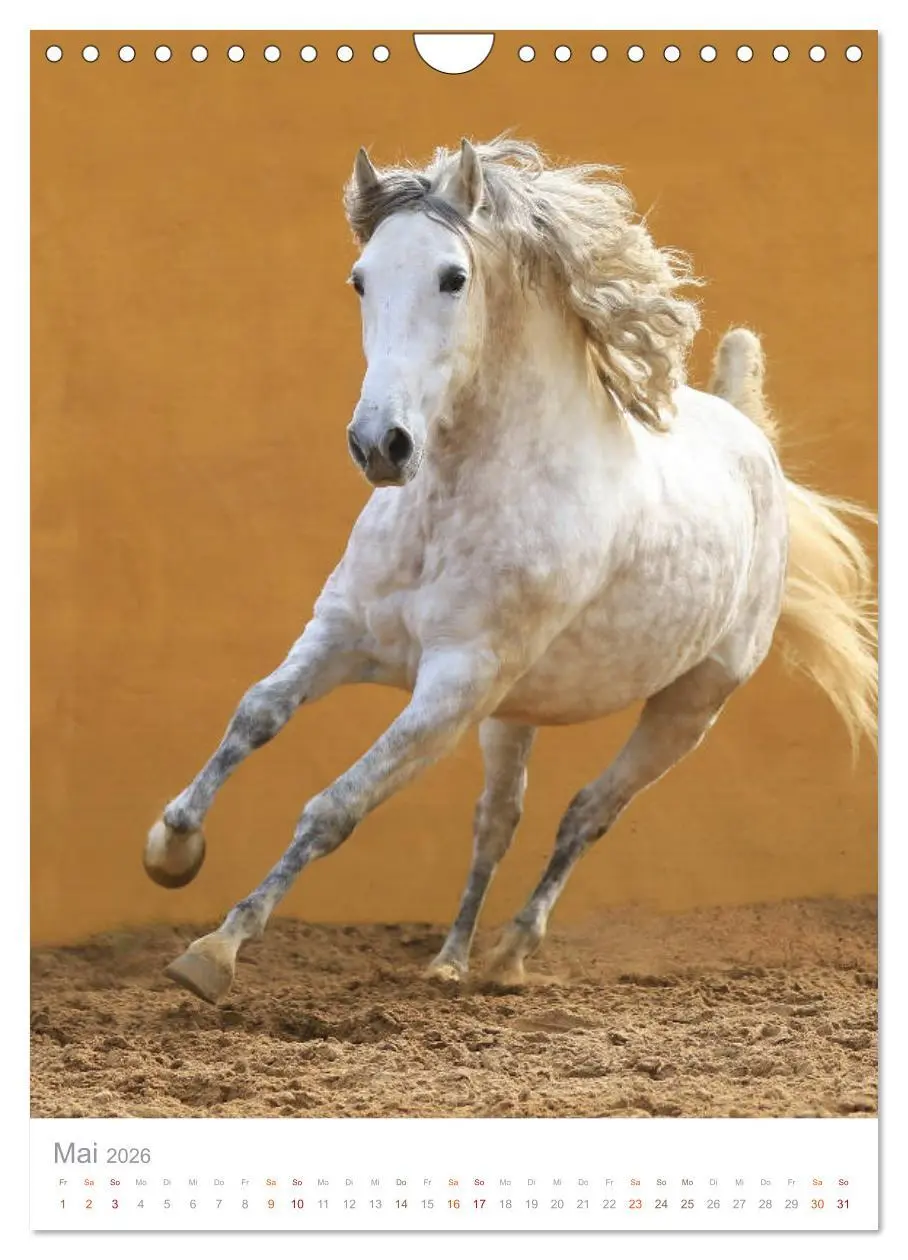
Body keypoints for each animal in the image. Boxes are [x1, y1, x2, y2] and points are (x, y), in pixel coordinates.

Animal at [145, 137, 877, 1004]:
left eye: (452, 277)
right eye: (361, 279)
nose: (380, 445)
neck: (456, 504)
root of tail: (747, 431)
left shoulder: (453, 688)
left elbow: (335, 806)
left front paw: (215, 949)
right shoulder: (344, 634)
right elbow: (256, 713)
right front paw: (171, 848)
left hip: (686, 708)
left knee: (588, 812)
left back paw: (510, 952)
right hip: (514, 713)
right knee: (498, 820)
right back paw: (451, 958)